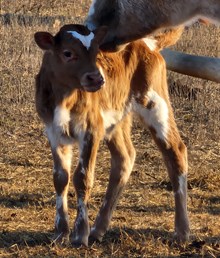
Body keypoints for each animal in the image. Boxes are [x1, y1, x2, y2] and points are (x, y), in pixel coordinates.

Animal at [34, 24, 189, 248]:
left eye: (96, 53)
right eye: (67, 53)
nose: (97, 78)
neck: (65, 97)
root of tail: (148, 43)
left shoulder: (92, 129)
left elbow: (82, 178)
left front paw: (80, 234)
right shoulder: (54, 132)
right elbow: (60, 178)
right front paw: (60, 232)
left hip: (155, 103)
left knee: (175, 152)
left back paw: (182, 232)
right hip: (117, 117)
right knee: (125, 157)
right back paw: (98, 229)